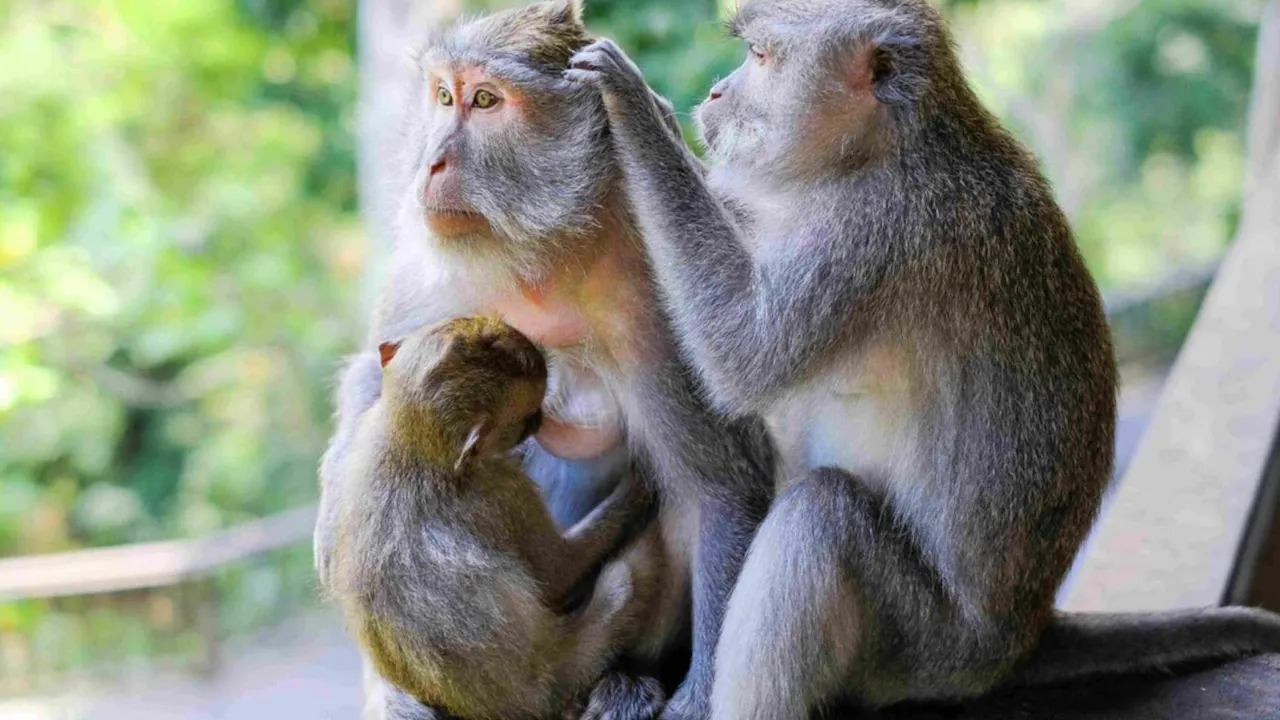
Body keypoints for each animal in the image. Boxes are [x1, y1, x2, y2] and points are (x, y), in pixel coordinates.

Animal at [322, 316, 663, 720]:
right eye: (529, 417)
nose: (541, 423)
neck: (413, 442)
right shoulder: (505, 491)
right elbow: (556, 572)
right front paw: (638, 489)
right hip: (561, 664)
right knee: (618, 585)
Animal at [564, 0, 1280, 717]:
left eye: (761, 57)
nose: (716, 92)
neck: (877, 150)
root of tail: (1021, 637)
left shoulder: (873, 231)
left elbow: (745, 352)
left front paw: (637, 111)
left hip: (925, 648)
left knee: (820, 518)